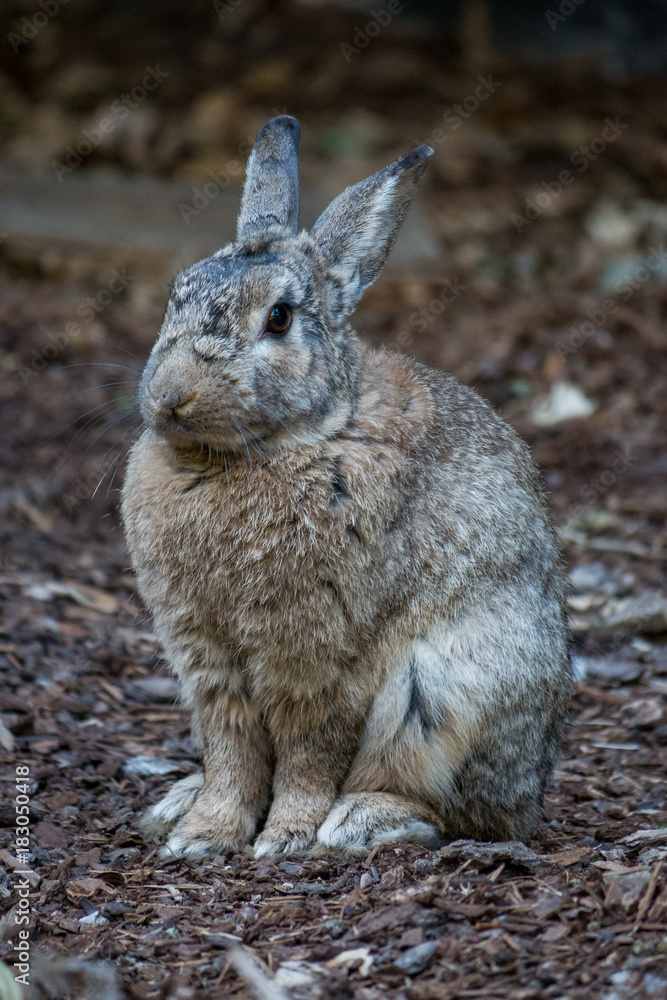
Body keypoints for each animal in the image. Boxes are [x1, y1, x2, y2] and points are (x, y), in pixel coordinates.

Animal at [121, 115, 572, 859]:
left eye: (278, 317)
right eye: (175, 295)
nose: (170, 397)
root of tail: (532, 793)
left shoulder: (316, 649)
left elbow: (308, 749)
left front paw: (285, 838)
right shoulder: (204, 655)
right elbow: (230, 747)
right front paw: (203, 835)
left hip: (448, 690)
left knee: (449, 809)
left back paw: (360, 821)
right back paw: (176, 801)